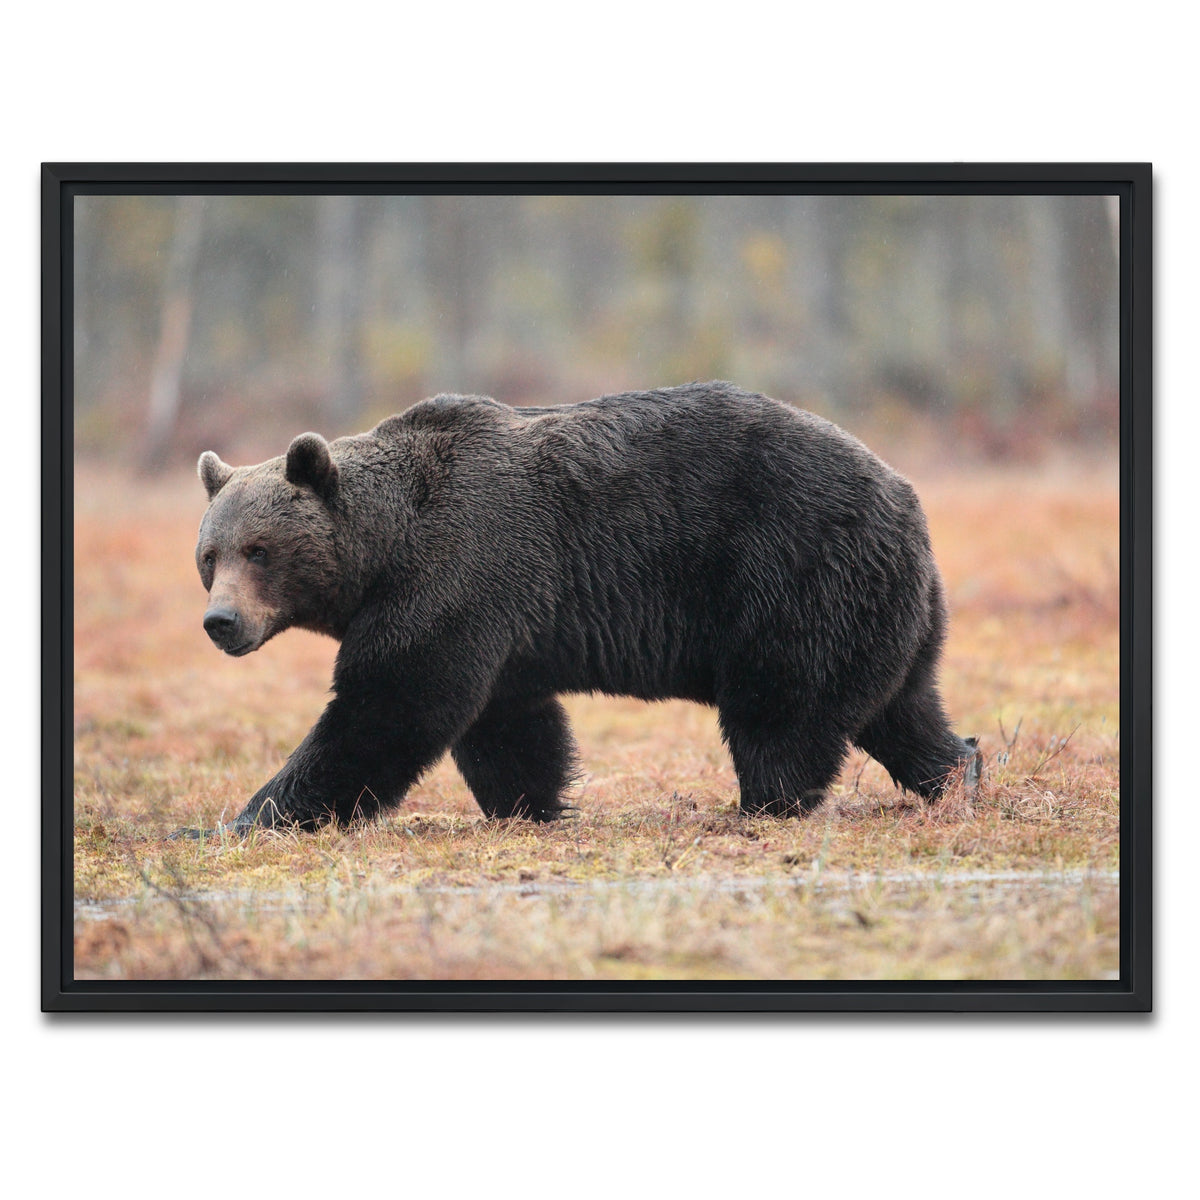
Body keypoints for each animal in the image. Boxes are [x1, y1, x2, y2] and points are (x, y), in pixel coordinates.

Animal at [175, 381, 980, 838]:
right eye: (209, 556)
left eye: (259, 551)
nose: (221, 623)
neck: (383, 549)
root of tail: (906, 495)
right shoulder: (497, 617)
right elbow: (506, 724)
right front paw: (534, 803)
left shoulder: (457, 570)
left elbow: (390, 706)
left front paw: (249, 818)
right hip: (887, 608)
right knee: (902, 709)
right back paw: (959, 771)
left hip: (792, 573)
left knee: (782, 709)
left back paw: (764, 804)